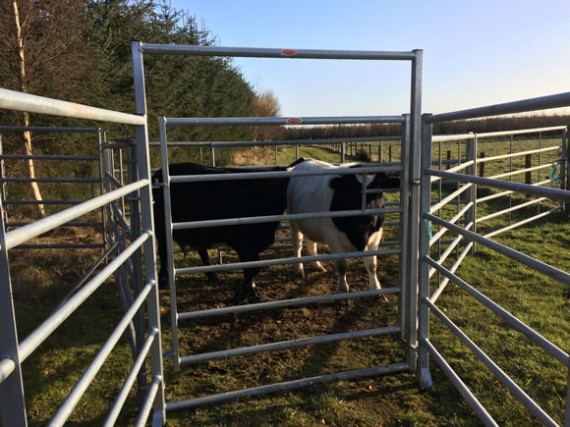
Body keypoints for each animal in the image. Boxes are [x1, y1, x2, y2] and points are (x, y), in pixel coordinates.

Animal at [152, 162, 288, 302]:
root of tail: (158, 173)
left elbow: (252, 267)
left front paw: (252, 290)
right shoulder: (244, 243)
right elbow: (252, 267)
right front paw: (242, 293)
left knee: (201, 251)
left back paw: (213, 276)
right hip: (161, 229)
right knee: (163, 253)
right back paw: (163, 280)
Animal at [284, 157, 400, 300]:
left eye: (378, 193)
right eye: (350, 193)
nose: (370, 220)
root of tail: (303, 160)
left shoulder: (376, 236)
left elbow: (372, 265)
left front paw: (377, 290)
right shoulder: (332, 237)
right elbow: (342, 265)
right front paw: (343, 291)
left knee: (311, 242)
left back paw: (317, 265)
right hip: (292, 219)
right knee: (297, 244)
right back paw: (299, 269)